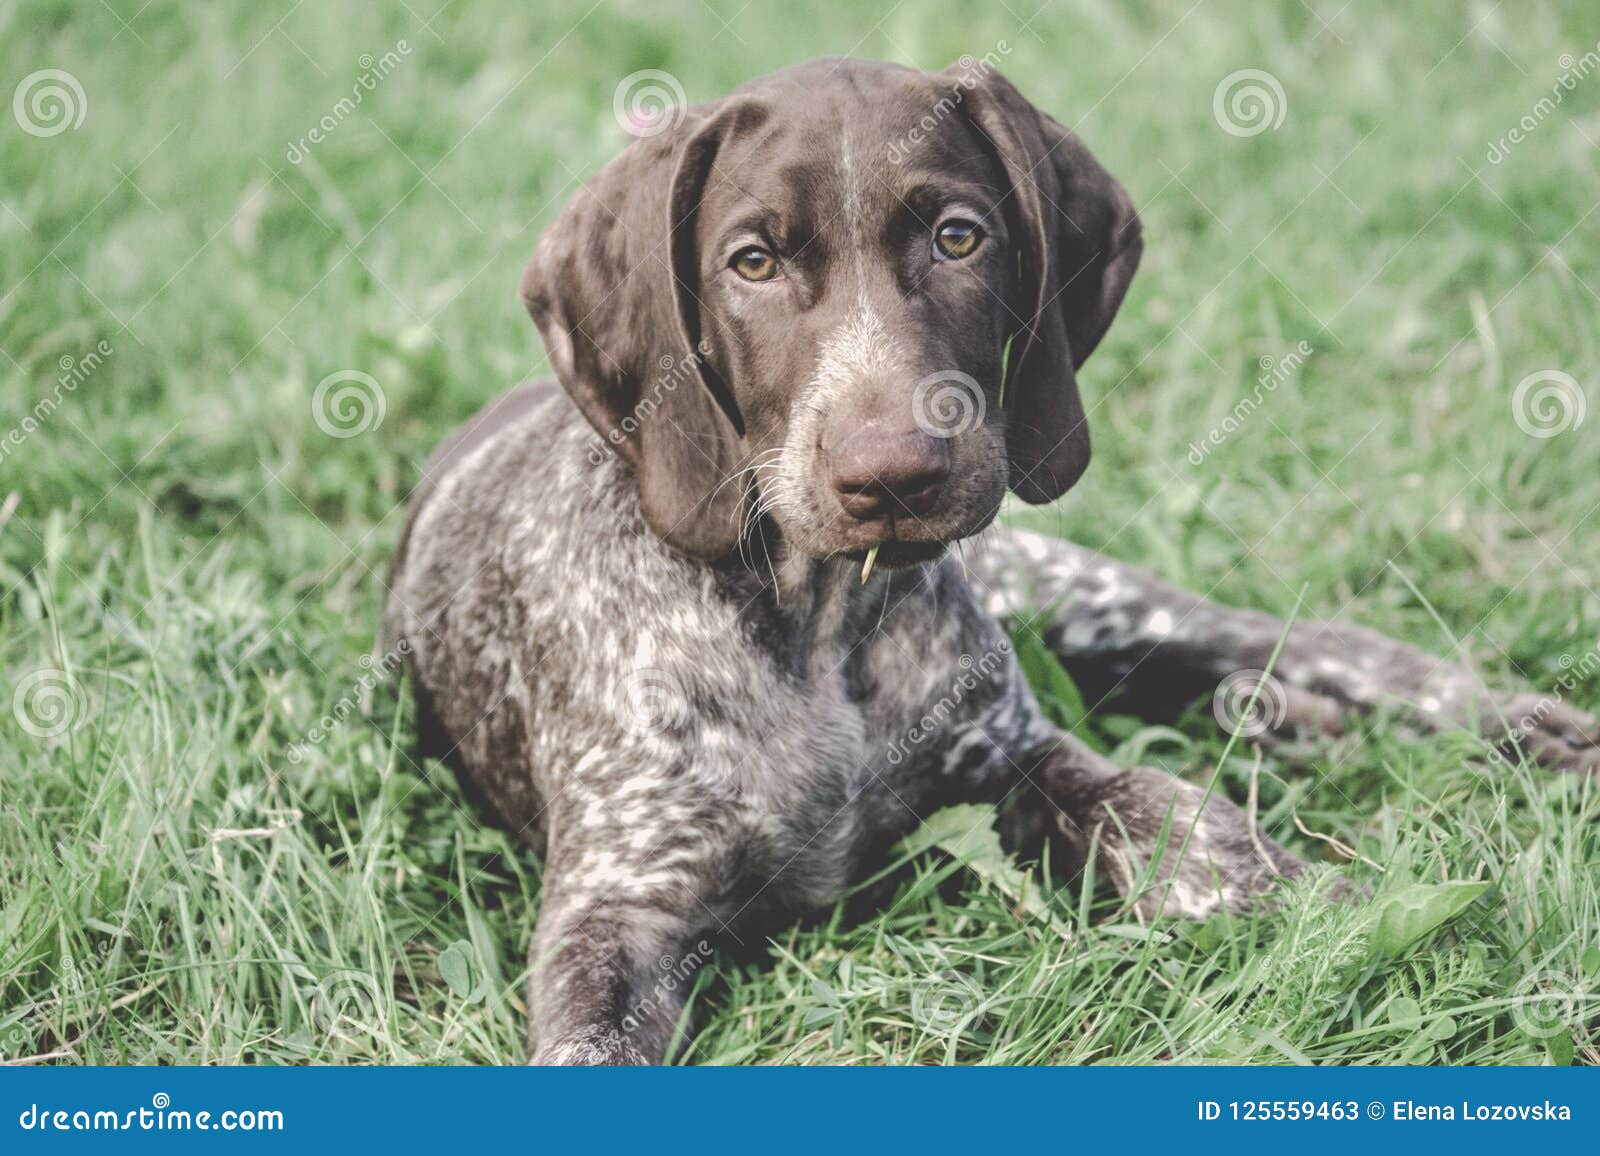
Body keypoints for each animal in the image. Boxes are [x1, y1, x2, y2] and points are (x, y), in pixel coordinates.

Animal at [387, 54, 1600, 1063]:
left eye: (958, 237)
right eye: (753, 262)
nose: (894, 474)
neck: (817, 624)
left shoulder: (1020, 757)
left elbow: (1180, 822)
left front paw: (1340, 919)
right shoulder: (617, 909)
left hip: (1091, 597)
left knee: (1309, 644)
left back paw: (1523, 729)